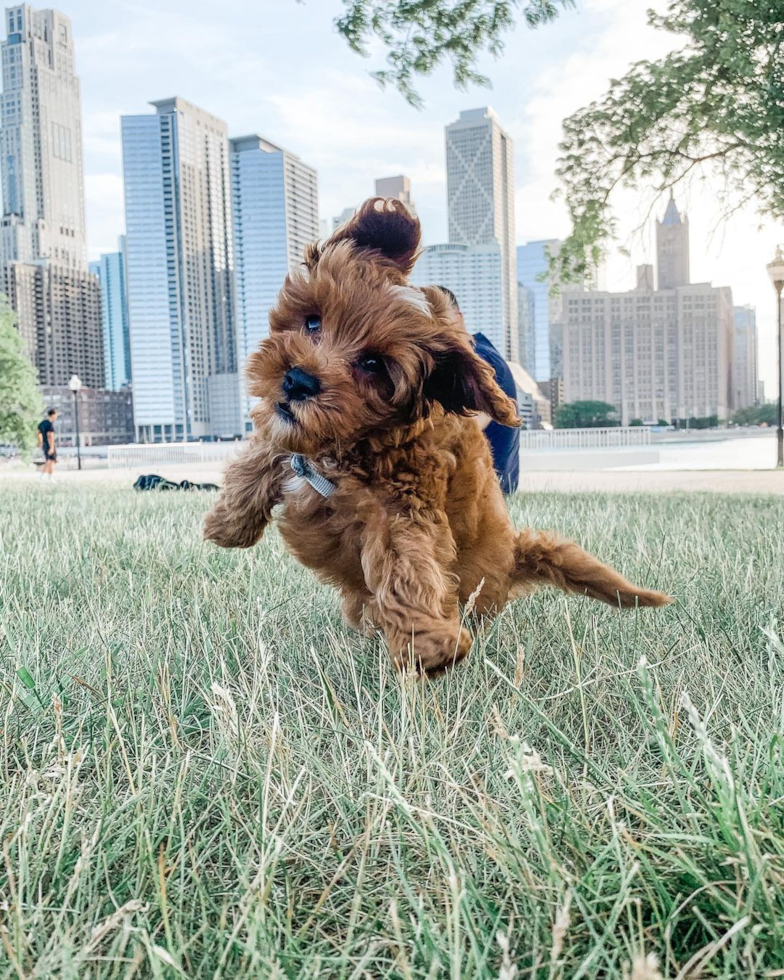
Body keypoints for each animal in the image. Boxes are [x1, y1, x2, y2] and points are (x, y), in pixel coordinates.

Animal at [205, 197, 672, 672]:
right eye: (313, 322)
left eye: (373, 364)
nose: (297, 381)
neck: (351, 443)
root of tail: (514, 555)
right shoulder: (297, 436)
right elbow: (266, 449)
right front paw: (228, 522)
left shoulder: (402, 504)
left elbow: (408, 565)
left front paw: (430, 643)